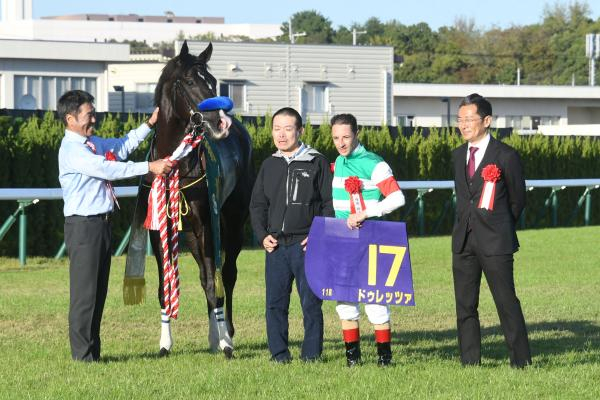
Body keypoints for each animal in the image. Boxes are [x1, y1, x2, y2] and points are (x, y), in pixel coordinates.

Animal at [130, 41, 252, 360]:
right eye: (189, 81)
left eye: (212, 81)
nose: (219, 121)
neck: (176, 165)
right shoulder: (160, 228)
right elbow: (165, 287)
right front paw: (164, 344)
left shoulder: (205, 225)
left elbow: (213, 282)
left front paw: (225, 344)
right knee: (203, 274)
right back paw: (213, 335)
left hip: (232, 221)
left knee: (226, 275)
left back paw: (226, 333)